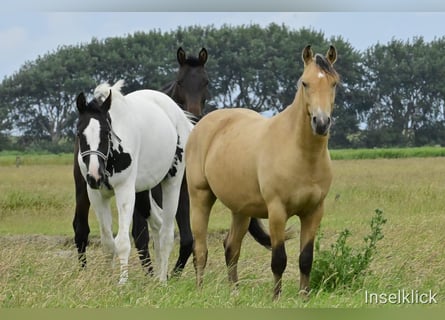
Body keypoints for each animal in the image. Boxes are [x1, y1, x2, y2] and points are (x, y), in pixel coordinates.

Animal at [73, 46, 210, 276]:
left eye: (106, 133)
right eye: (79, 133)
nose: (94, 175)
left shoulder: (125, 190)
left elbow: (123, 242)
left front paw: (122, 281)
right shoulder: (96, 193)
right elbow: (108, 242)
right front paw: (108, 279)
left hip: (171, 184)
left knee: (165, 233)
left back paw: (162, 279)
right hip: (138, 191)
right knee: (154, 224)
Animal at [186, 45, 338, 300]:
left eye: (334, 83)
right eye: (305, 83)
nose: (321, 123)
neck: (301, 153)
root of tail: (202, 124)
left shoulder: (314, 211)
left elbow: (306, 259)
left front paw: (304, 296)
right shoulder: (277, 211)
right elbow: (279, 259)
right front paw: (276, 298)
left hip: (241, 210)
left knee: (231, 248)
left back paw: (234, 293)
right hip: (200, 197)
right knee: (200, 250)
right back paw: (198, 290)